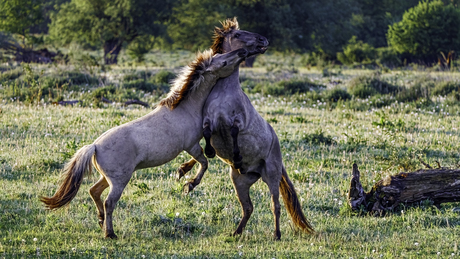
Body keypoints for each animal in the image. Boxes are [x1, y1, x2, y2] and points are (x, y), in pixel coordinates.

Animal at [39, 47, 255, 240]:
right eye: (223, 62)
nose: (242, 51)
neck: (185, 109)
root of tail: (95, 146)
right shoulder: (190, 145)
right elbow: (204, 162)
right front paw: (189, 185)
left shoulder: (191, 146)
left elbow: (200, 158)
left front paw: (181, 172)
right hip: (119, 181)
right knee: (109, 202)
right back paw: (110, 233)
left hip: (108, 177)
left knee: (94, 191)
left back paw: (100, 221)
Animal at [175, 18, 312, 241]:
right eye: (238, 35)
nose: (264, 40)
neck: (224, 94)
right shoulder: (208, 121)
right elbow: (206, 138)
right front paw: (191, 170)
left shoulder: (238, 122)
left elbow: (233, 134)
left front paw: (237, 156)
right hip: (239, 181)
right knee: (248, 208)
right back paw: (236, 232)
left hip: (272, 176)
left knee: (275, 206)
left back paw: (276, 234)